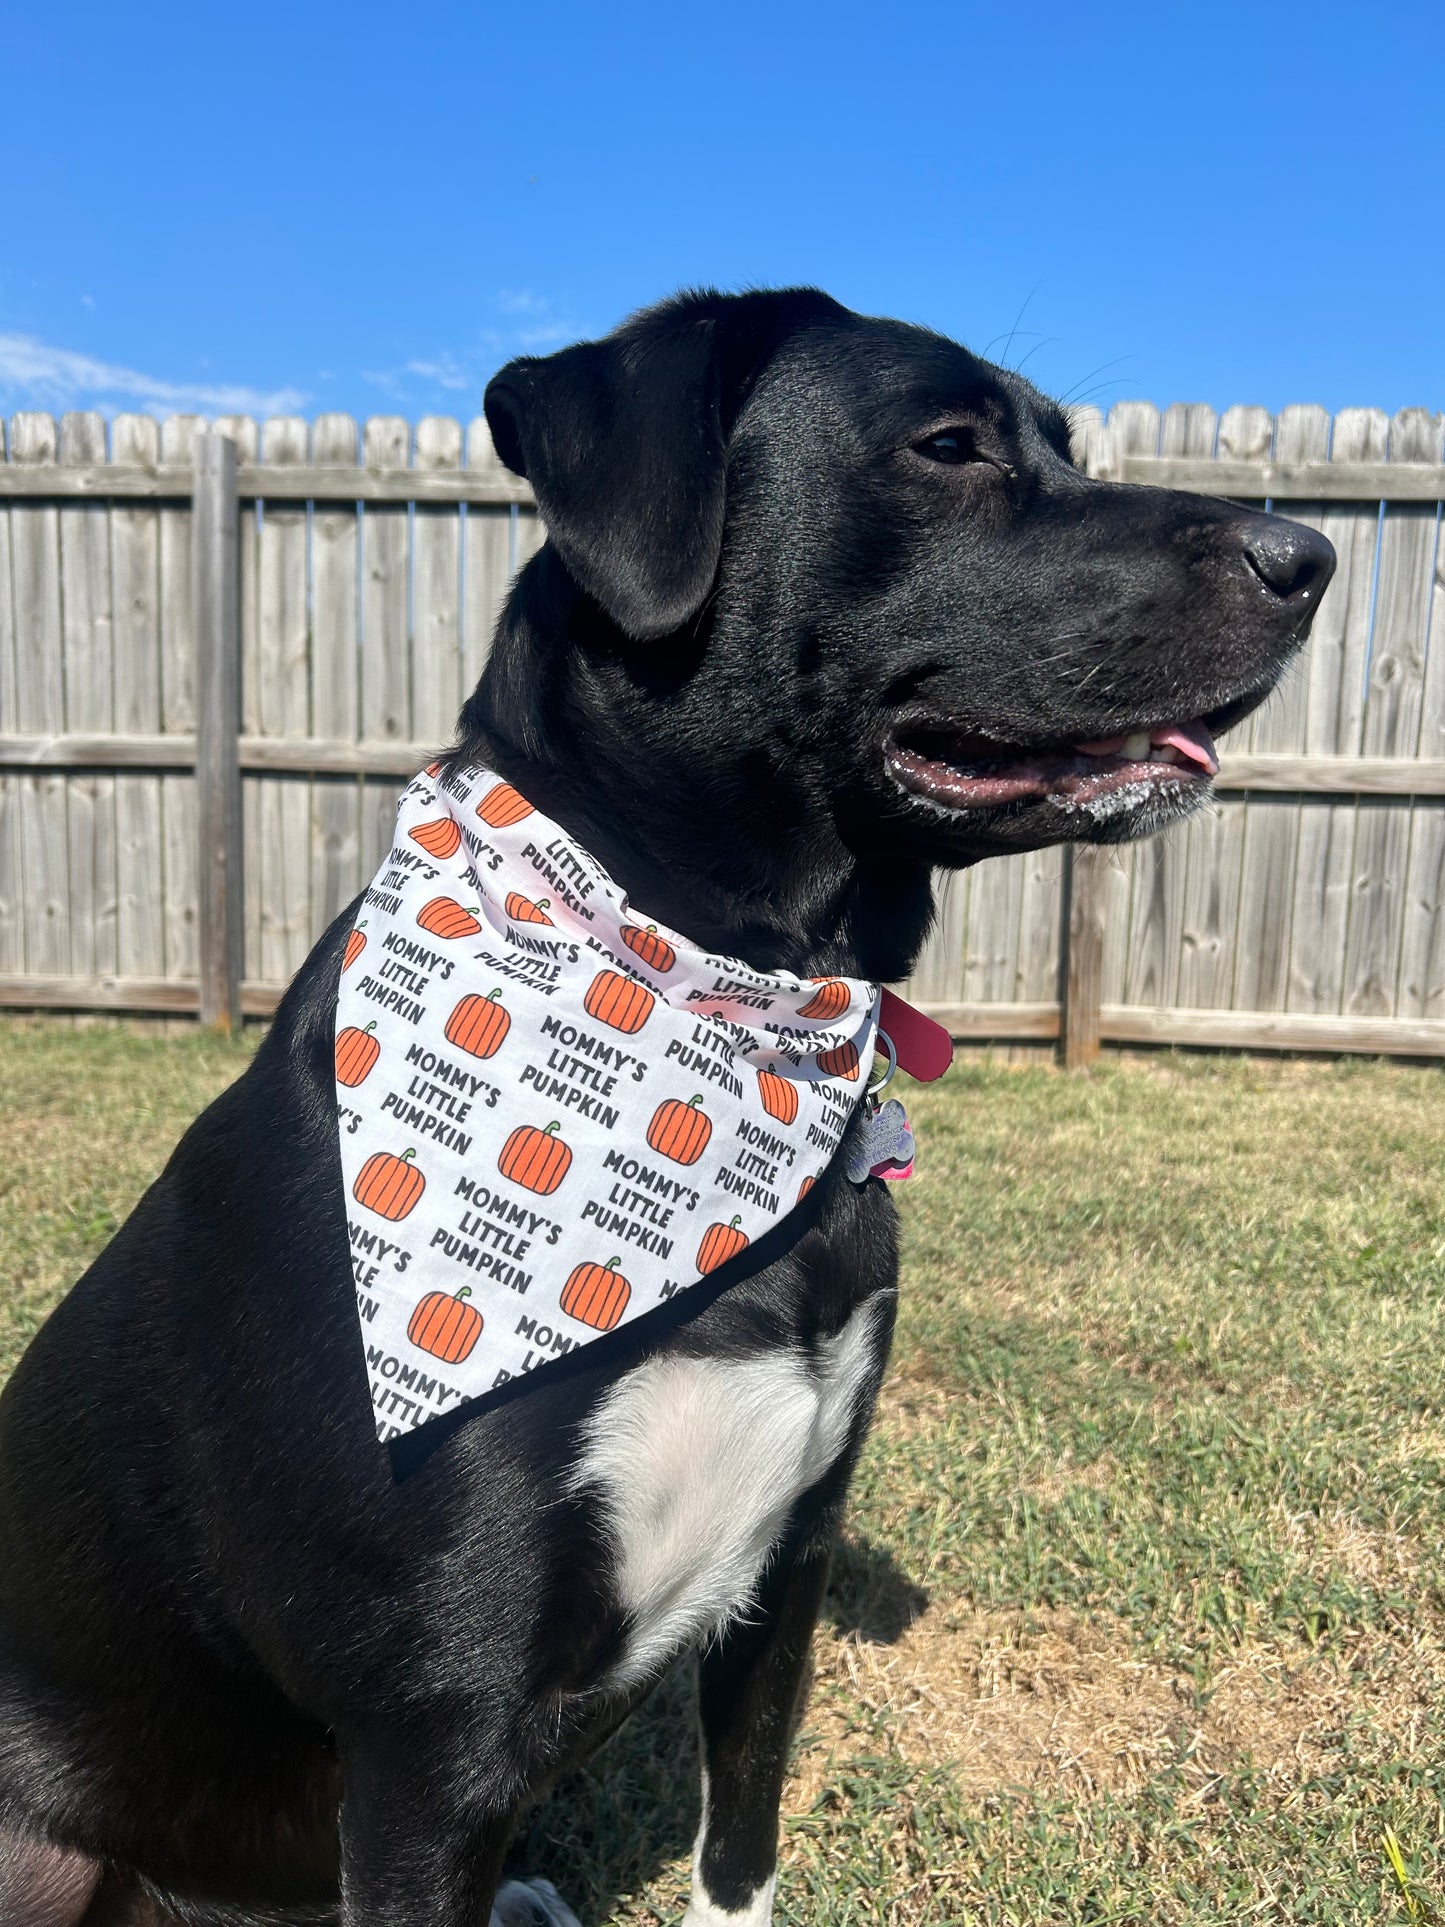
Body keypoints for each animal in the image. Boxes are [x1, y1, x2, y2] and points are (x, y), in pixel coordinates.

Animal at [0, 289, 1333, 1927]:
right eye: (948, 445)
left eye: (1064, 446)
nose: (1308, 557)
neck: (724, 1010)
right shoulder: (427, 1734)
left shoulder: (785, 1569)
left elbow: (737, 1851)